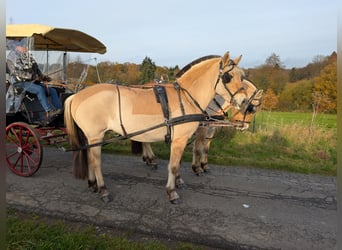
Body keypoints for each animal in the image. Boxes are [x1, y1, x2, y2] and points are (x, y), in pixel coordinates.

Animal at [62, 51, 247, 204]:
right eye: (228, 76)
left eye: (242, 76)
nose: (244, 101)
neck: (186, 97)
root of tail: (76, 95)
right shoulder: (180, 139)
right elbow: (173, 165)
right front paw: (172, 192)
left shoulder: (180, 139)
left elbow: (178, 163)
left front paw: (178, 182)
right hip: (96, 135)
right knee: (96, 162)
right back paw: (103, 189)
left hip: (90, 137)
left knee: (88, 157)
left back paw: (92, 184)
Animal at [135, 77, 264, 174]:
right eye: (252, 107)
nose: (244, 126)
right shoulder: (202, 128)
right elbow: (197, 148)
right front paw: (196, 167)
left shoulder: (211, 127)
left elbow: (205, 148)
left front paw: (204, 165)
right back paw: (152, 159)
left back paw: (147, 158)